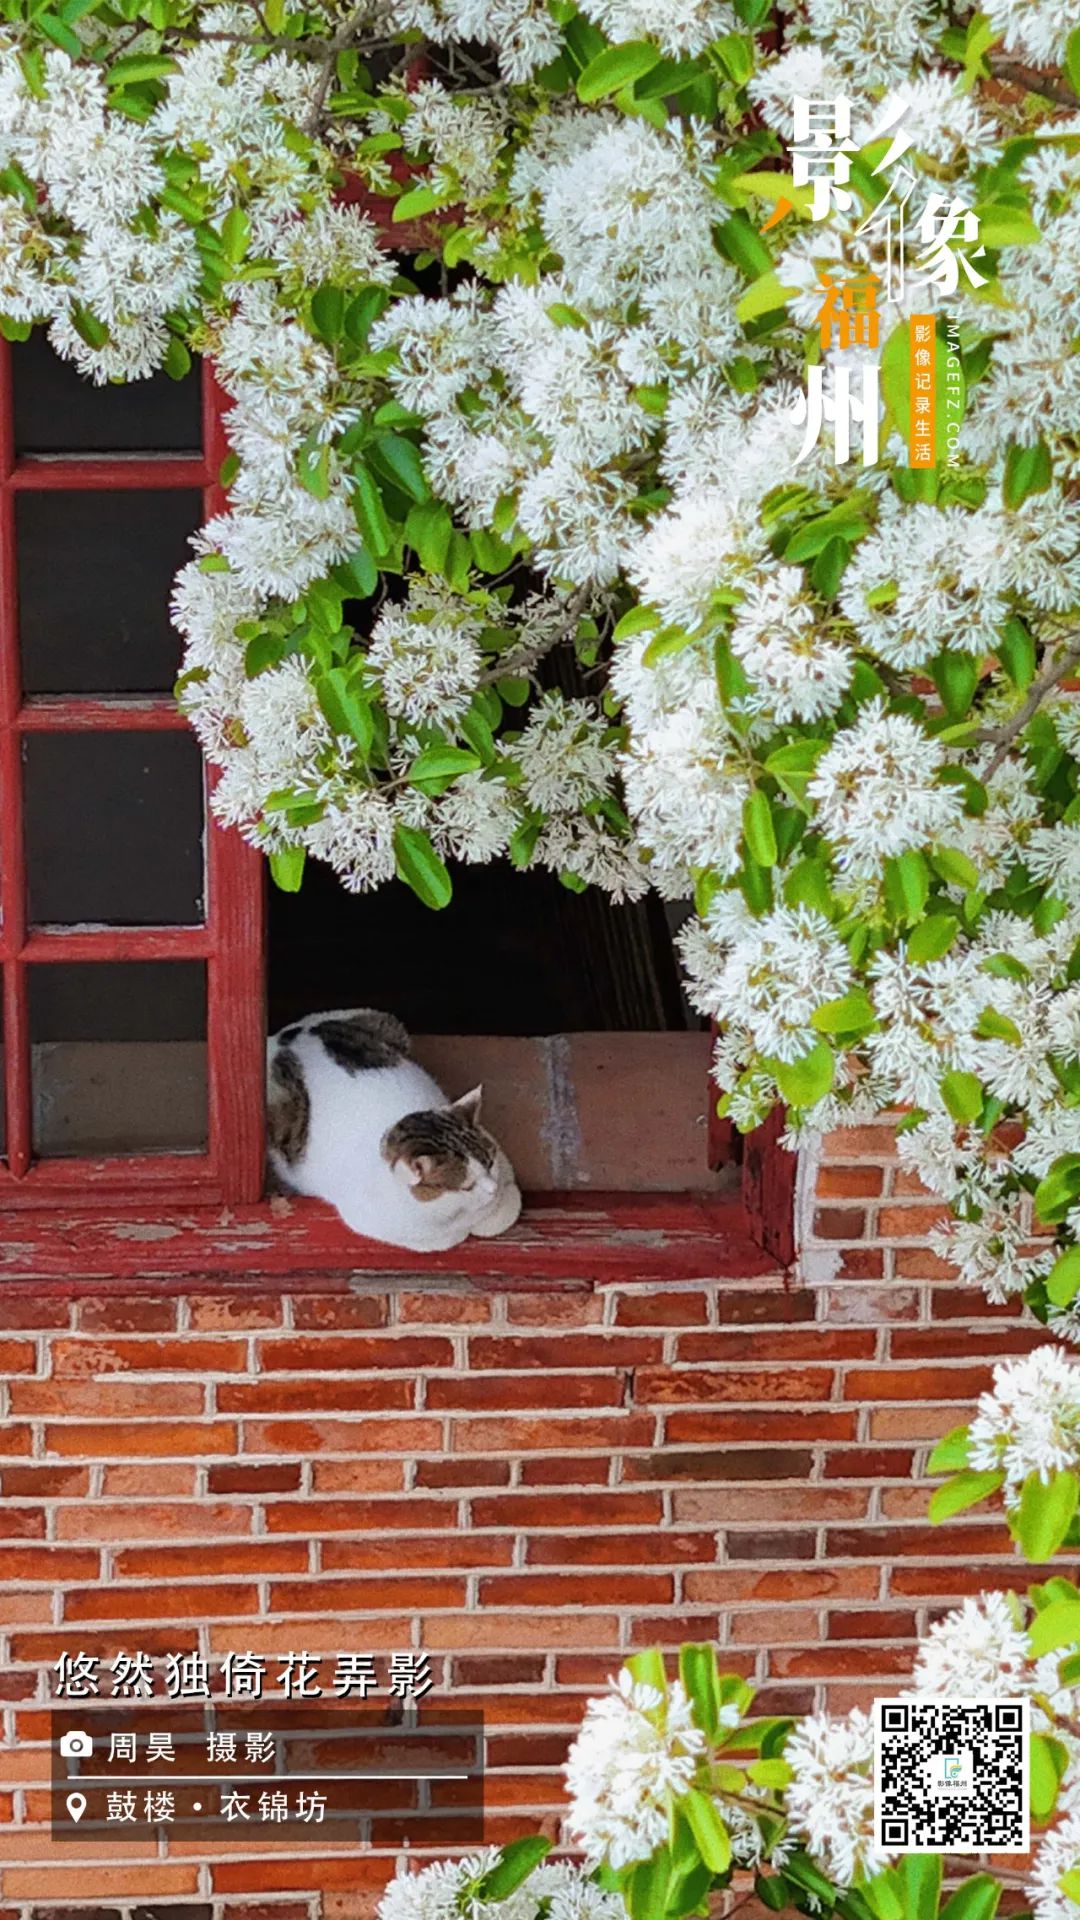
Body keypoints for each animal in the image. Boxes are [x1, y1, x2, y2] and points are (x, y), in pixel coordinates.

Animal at [267, 1006, 522, 1259]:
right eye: (467, 1186)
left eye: (490, 1163)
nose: (493, 1188)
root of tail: (290, 1036)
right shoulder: (367, 1216)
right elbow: (442, 1240)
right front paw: (460, 1232)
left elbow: (506, 1211)